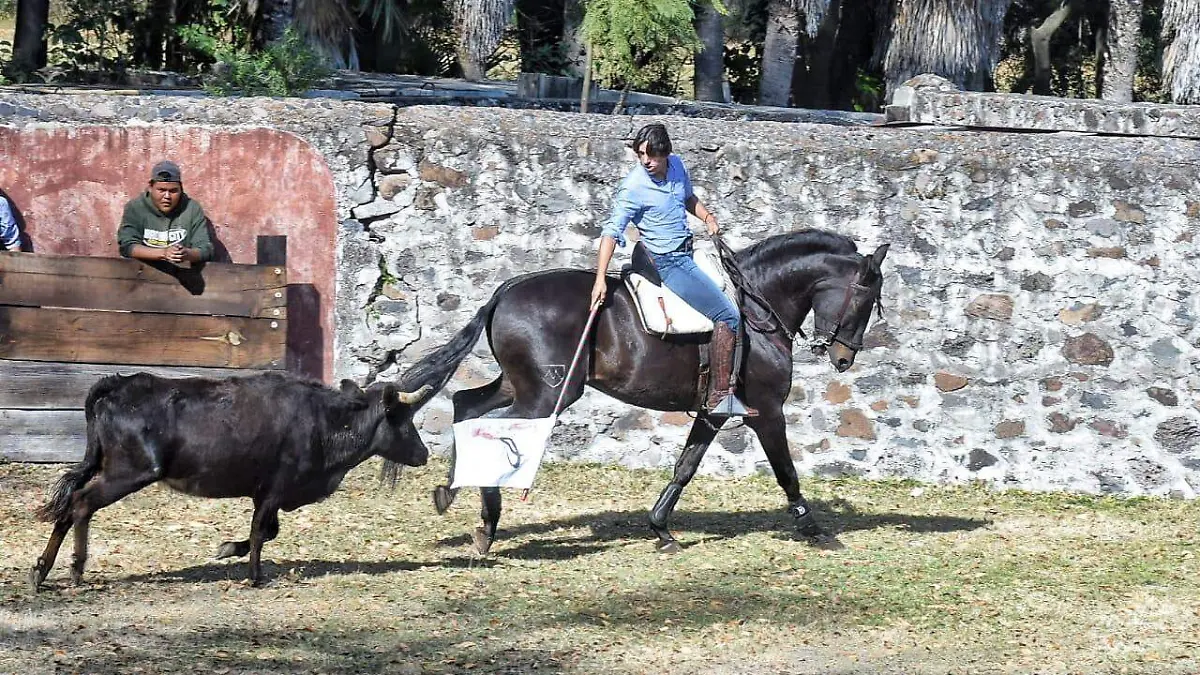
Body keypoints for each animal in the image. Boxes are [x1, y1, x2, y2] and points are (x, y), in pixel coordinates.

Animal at [28, 369, 434, 586]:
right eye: (404, 419)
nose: (424, 454)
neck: (326, 422)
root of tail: (120, 382)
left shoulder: (264, 493)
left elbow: (267, 531)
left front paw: (227, 550)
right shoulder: (275, 488)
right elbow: (260, 532)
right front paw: (253, 574)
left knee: (70, 504)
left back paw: (44, 571)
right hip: (127, 472)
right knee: (81, 503)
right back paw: (73, 569)